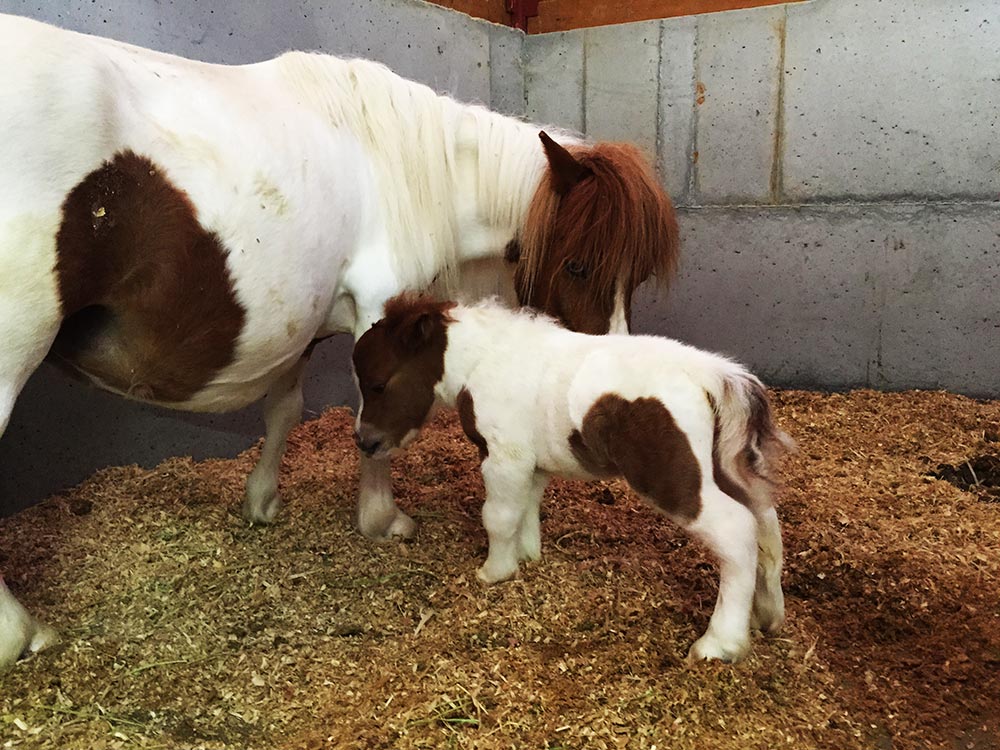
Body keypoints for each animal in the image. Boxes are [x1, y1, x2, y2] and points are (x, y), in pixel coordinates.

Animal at [0, 11, 680, 668]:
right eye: (579, 266)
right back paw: (19, 634)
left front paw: (262, 503)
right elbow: (376, 422)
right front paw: (381, 519)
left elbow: (284, 410)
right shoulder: (381, 310)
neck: (398, 162)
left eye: (640, 274)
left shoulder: (298, 328)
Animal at [352, 296, 788, 660]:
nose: (365, 441)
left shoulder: (503, 457)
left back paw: (720, 644)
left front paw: (494, 572)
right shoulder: (532, 463)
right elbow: (526, 509)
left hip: (676, 480)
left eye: (378, 383)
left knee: (738, 530)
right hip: (724, 468)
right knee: (765, 522)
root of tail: (711, 375)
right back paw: (766, 614)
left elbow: (498, 517)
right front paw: (526, 557)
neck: (484, 360)